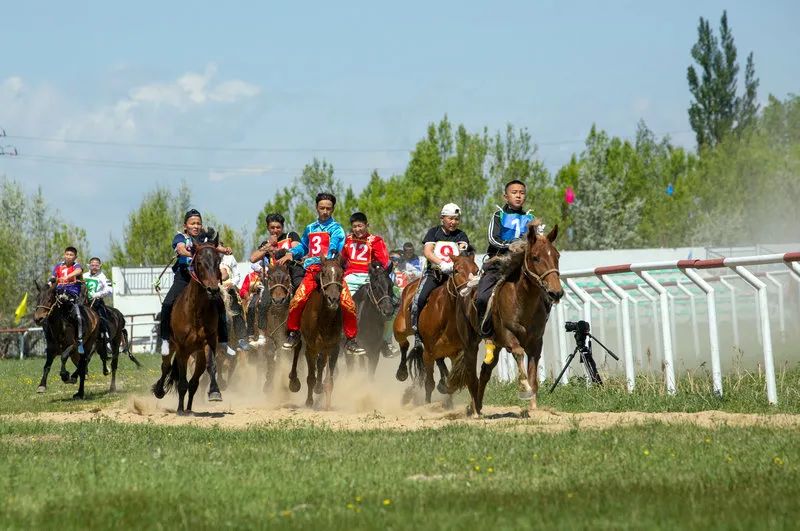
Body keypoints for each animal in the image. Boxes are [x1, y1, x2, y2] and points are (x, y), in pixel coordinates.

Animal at [152, 233, 222, 416]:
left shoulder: (209, 343)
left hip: (198, 354)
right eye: (199, 262)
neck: (195, 311)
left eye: (218, 260)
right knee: (166, 367)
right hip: (171, 347)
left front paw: (215, 392)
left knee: (194, 382)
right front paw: (179, 410)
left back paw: (189, 408)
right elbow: (181, 381)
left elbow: (211, 367)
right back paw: (160, 391)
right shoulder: (182, 349)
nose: (213, 290)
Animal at [290, 258, 346, 412]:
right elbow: (310, 377)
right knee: (297, 349)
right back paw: (294, 382)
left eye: (341, 274)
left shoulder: (334, 347)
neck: (324, 318)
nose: (333, 299)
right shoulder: (311, 348)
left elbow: (328, 377)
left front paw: (327, 404)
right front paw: (309, 402)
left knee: (321, 363)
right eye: (324, 273)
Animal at [392, 256, 478, 406]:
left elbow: (453, 380)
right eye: (456, 270)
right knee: (404, 344)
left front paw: (447, 397)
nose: (471, 290)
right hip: (400, 328)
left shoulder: (456, 353)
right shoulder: (428, 354)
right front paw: (427, 404)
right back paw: (402, 372)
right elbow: (429, 383)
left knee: (441, 362)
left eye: (477, 270)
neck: (446, 314)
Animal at [450, 222, 564, 418]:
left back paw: (478, 405)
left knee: (485, 371)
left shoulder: (536, 343)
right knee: (471, 374)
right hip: (470, 343)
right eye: (535, 257)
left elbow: (533, 373)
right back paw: (474, 411)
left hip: (495, 346)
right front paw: (524, 389)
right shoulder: (508, 336)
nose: (556, 292)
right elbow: (518, 353)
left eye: (556, 256)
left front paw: (533, 406)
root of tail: (464, 292)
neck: (522, 301)